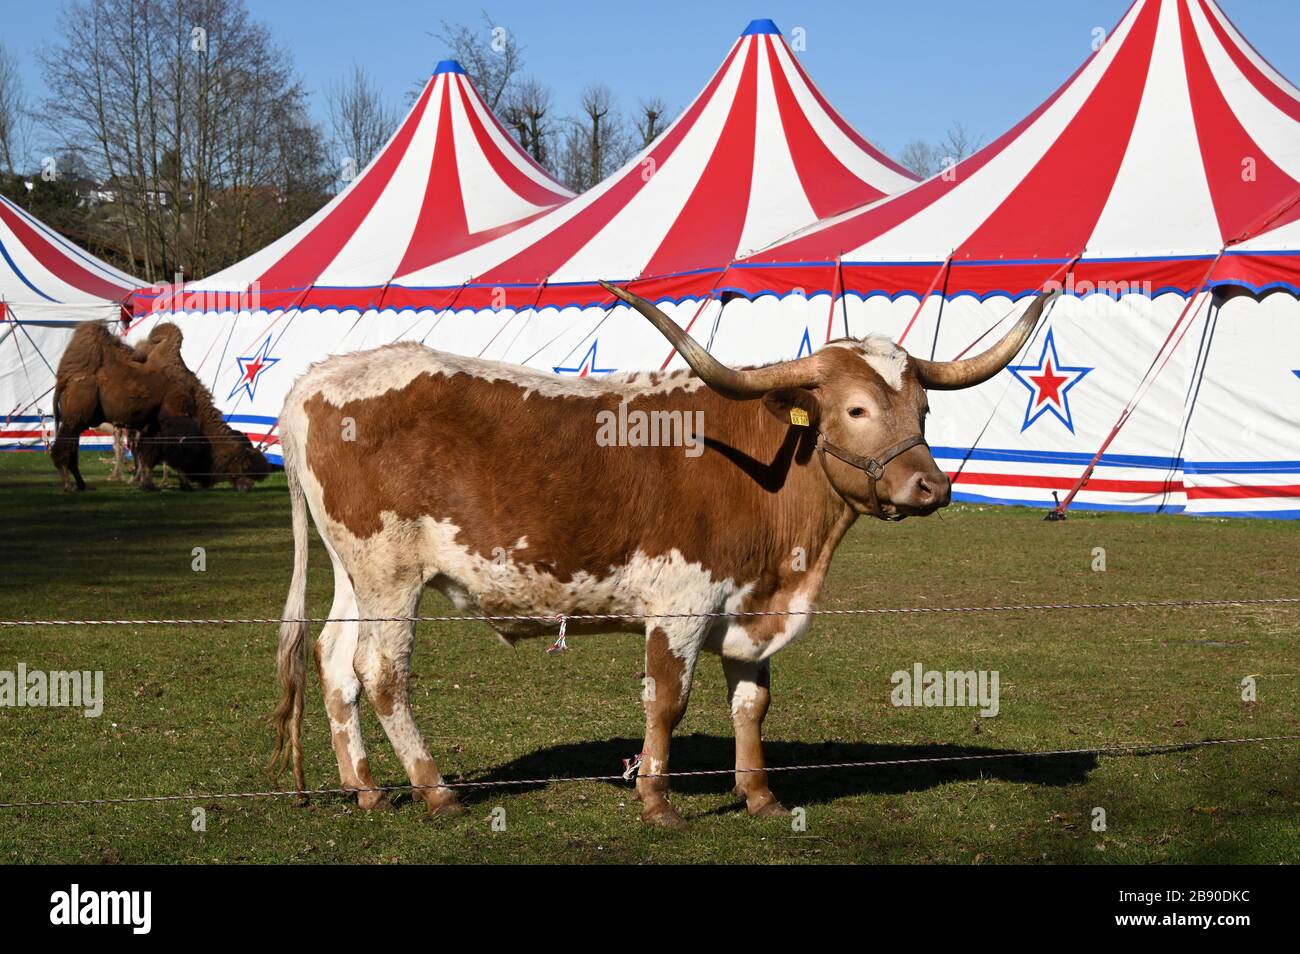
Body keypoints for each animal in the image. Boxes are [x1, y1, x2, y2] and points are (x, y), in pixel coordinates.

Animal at [51, 324, 271, 496]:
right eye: (244, 465)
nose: (247, 488)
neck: (195, 400)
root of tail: (65, 380)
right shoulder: (175, 421)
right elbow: (177, 452)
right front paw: (184, 485)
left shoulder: (152, 425)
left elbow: (148, 454)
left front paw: (148, 485)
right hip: (75, 418)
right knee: (61, 450)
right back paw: (68, 485)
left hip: (79, 421)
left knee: (72, 450)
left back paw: (82, 485)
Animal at [269, 283, 1050, 831]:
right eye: (856, 409)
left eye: (923, 410)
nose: (931, 486)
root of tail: (315, 379)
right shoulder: (681, 604)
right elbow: (667, 700)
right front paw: (657, 802)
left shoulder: (748, 605)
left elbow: (752, 703)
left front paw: (759, 795)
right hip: (389, 572)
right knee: (381, 671)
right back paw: (434, 791)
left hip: (354, 574)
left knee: (335, 661)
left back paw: (366, 789)